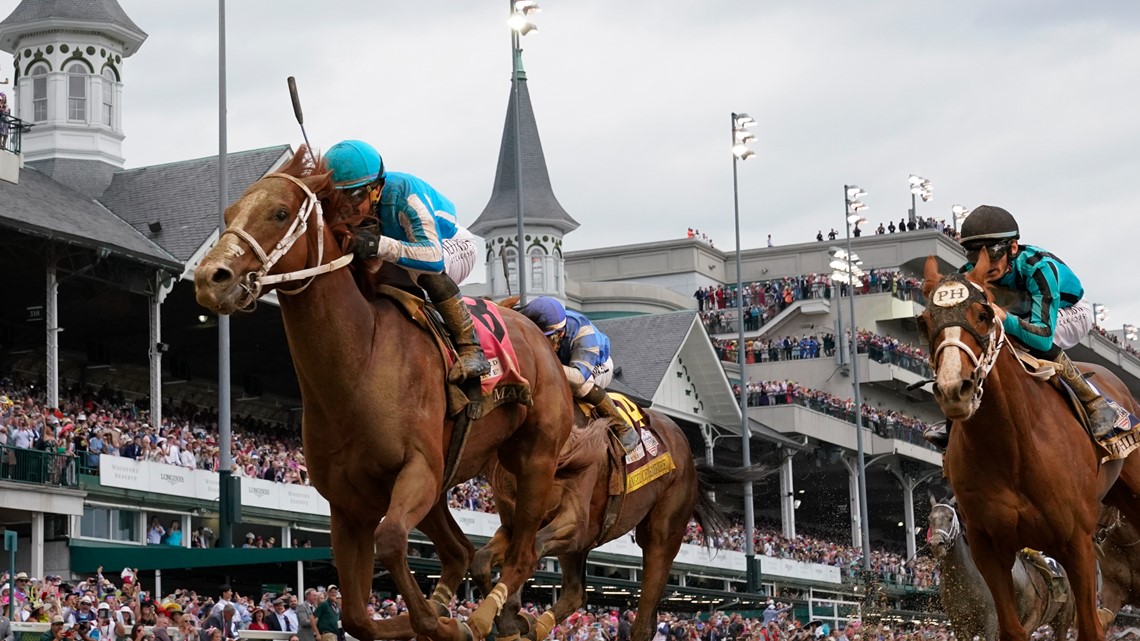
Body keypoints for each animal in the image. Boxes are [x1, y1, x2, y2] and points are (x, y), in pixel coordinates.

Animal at [193, 147, 579, 638]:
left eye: (279, 213)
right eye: (228, 213)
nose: (211, 277)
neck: (361, 364)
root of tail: (537, 331)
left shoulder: (418, 470)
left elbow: (392, 540)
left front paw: (441, 623)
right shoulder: (348, 504)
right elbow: (358, 616)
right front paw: (425, 618)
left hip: (533, 461)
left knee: (522, 552)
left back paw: (483, 616)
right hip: (449, 484)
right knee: (460, 552)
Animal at [467, 403, 761, 638]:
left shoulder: (576, 524)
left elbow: (528, 553)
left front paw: (505, 616)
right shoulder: (516, 525)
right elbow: (482, 560)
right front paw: (504, 617)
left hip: (662, 531)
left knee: (643, 621)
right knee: (575, 593)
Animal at [930, 497, 1071, 638]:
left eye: (950, 518)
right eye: (930, 518)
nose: (937, 544)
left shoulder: (990, 622)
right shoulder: (959, 625)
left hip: (1055, 620)